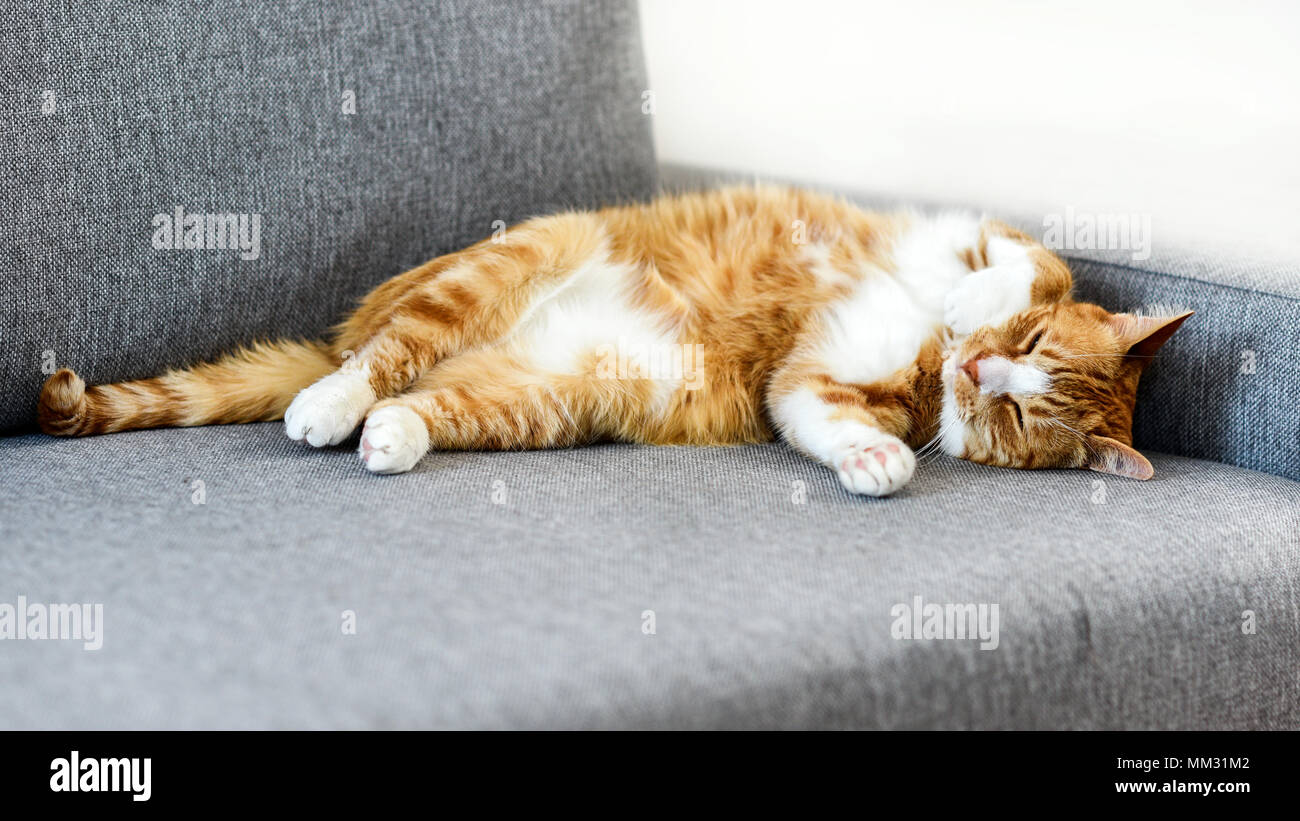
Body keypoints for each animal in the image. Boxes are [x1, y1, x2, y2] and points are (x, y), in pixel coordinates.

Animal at [35, 185, 1190, 493]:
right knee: (381, 355)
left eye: (1017, 416)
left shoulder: (807, 384)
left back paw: (388, 437)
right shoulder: (968, 230)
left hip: (550, 396)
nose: (976, 367)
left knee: (422, 397)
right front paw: (970, 300)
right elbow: (1022, 256)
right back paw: (327, 402)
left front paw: (877, 460)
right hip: (508, 261)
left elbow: (827, 417)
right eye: (1023, 345)